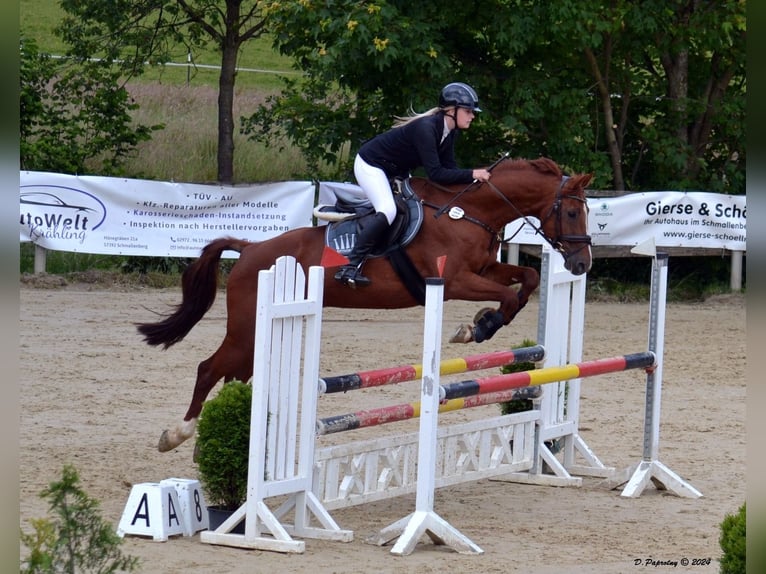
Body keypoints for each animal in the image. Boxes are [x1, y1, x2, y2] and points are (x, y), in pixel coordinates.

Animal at [136, 158, 592, 454]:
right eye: (572, 212)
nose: (581, 264)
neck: (470, 212)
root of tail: (249, 250)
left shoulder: (485, 268)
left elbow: (527, 279)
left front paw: (484, 322)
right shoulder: (454, 281)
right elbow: (508, 294)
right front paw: (478, 327)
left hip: (251, 337)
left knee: (236, 377)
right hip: (246, 328)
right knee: (208, 369)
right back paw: (177, 434)